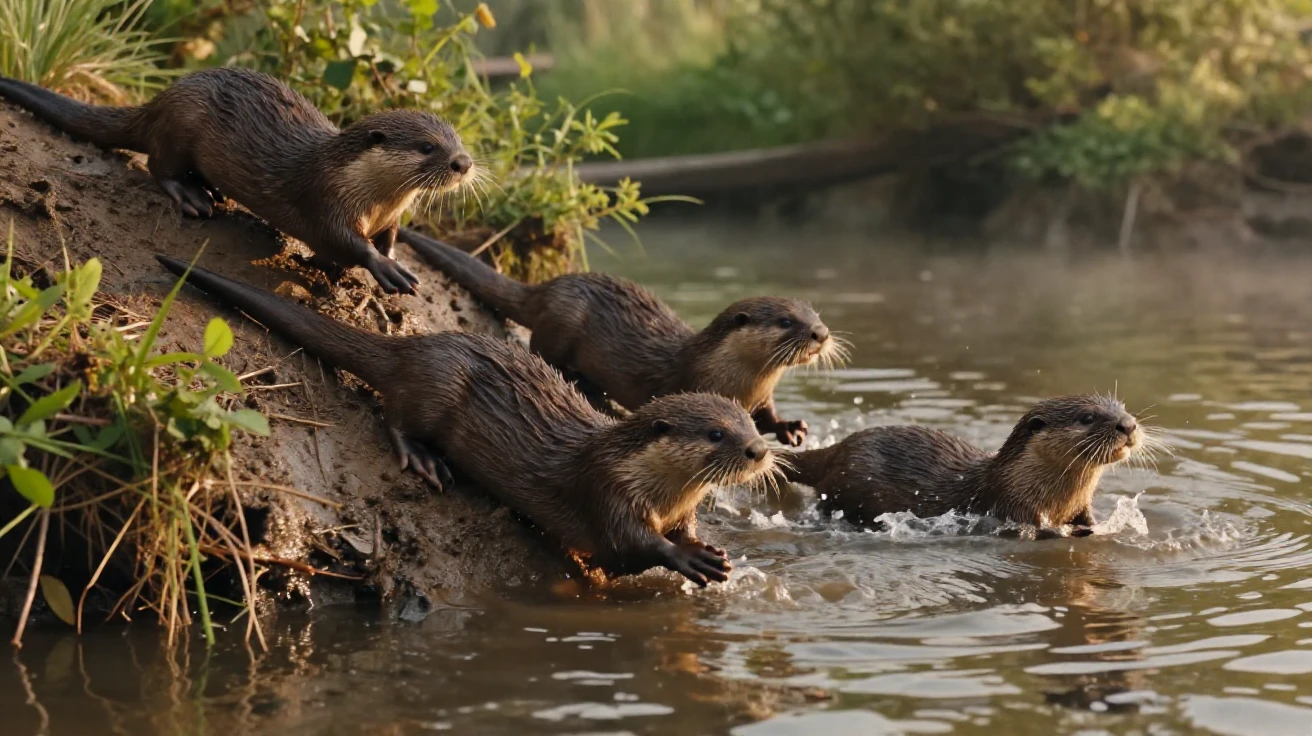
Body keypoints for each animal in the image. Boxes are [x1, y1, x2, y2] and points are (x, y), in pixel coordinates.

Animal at [0, 68, 474, 294]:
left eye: (457, 139)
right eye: (427, 147)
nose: (464, 162)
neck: (372, 199)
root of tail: (163, 98)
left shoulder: (390, 218)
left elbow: (387, 239)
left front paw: (391, 259)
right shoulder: (326, 200)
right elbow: (344, 243)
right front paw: (384, 270)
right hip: (180, 124)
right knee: (159, 165)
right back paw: (193, 197)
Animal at [155, 256, 777, 586]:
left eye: (749, 425)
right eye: (717, 433)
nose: (759, 451)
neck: (654, 490)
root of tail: (418, 344)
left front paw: (704, 545)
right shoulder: (605, 494)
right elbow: (627, 548)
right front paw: (691, 558)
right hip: (437, 387)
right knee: (395, 414)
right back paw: (423, 459)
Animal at [397, 228, 847, 446]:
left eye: (815, 314)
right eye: (787, 321)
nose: (821, 333)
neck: (739, 381)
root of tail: (546, 288)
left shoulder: (762, 397)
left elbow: (767, 417)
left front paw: (791, 428)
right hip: (565, 318)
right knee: (544, 350)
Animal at [783, 395, 1150, 533]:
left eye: (1123, 407)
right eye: (1087, 417)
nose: (1128, 425)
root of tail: (837, 449)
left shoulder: (1081, 506)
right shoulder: (1013, 507)